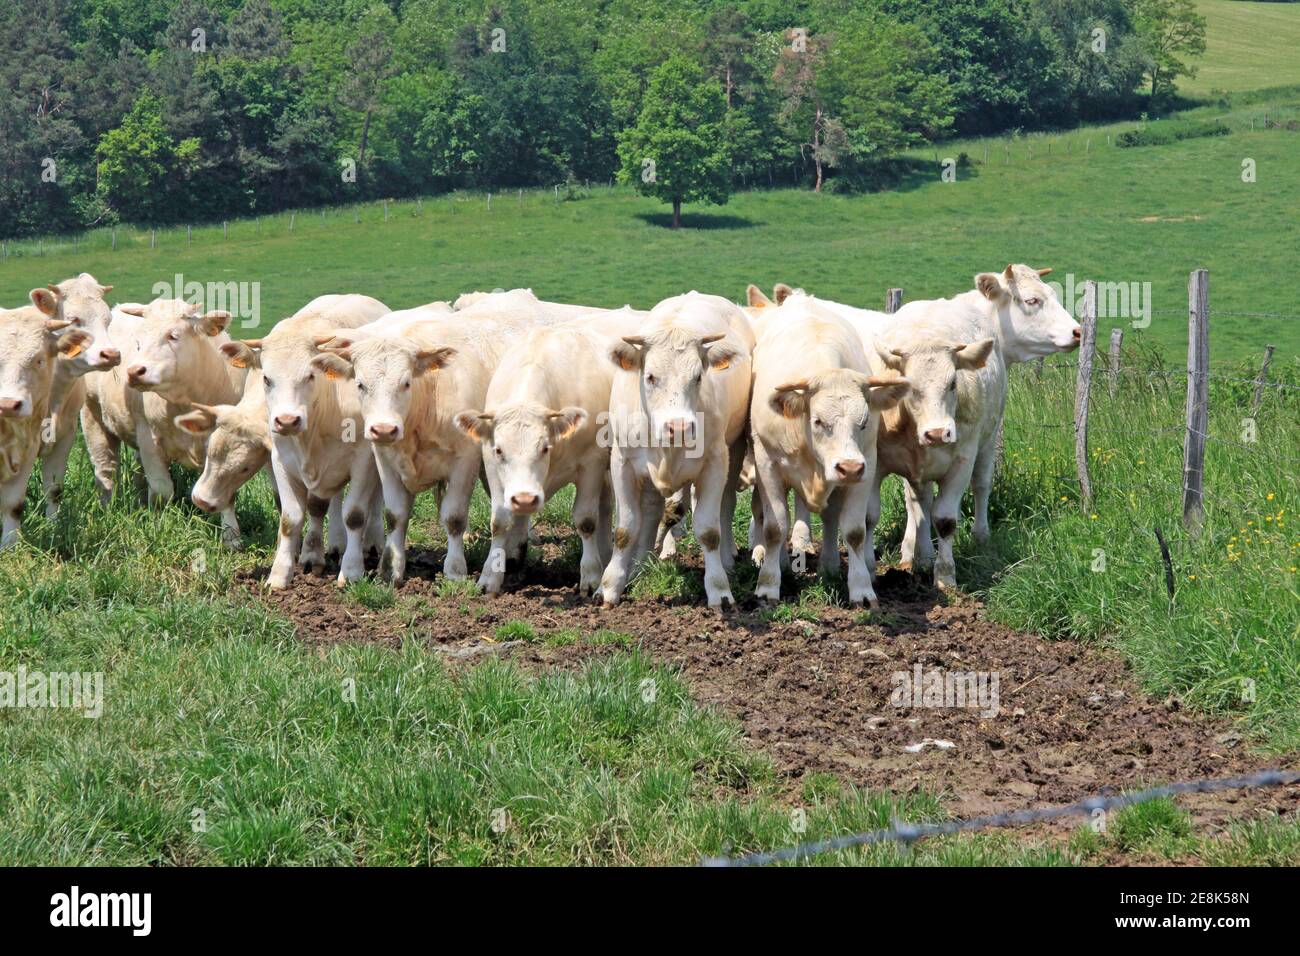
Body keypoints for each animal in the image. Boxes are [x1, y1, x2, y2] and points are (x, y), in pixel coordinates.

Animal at [595, 290, 754, 606]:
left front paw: (719, 589)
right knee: (653, 510)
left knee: (726, 503)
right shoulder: (622, 463)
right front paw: (610, 585)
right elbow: (625, 529)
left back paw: (727, 559)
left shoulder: (715, 463)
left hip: (735, 448)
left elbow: (709, 530)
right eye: (650, 376)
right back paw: (639, 565)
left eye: (698, 377)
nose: (678, 427)